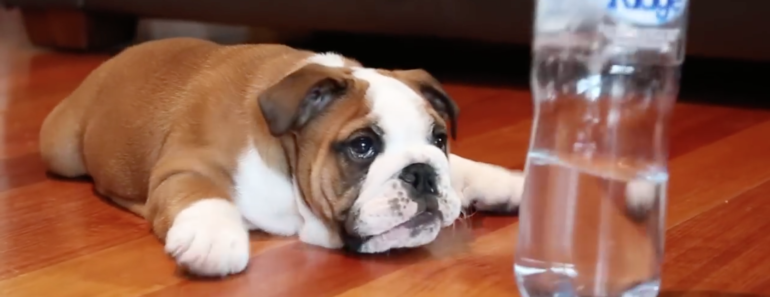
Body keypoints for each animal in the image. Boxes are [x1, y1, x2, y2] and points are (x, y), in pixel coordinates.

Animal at [39, 38, 524, 276]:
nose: (421, 174)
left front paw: (510, 183)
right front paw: (214, 239)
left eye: (439, 139)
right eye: (362, 146)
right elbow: (203, 196)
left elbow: (462, 169)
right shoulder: (184, 168)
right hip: (62, 149)